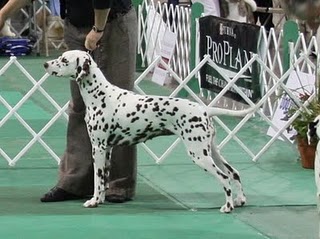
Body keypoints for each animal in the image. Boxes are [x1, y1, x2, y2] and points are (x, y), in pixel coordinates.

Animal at [43, 50, 254, 213]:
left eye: (64, 60)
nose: (45, 64)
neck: (100, 95)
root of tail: (204, 109)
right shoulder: (108, 149)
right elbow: (103, 181)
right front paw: (101, 199)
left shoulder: (99, 147)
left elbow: (97, 179)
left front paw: (93, 201)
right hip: (211, 151)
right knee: (234, 173)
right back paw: (239, 200)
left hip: (199, 154)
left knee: (224, 177)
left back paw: (228, 207)